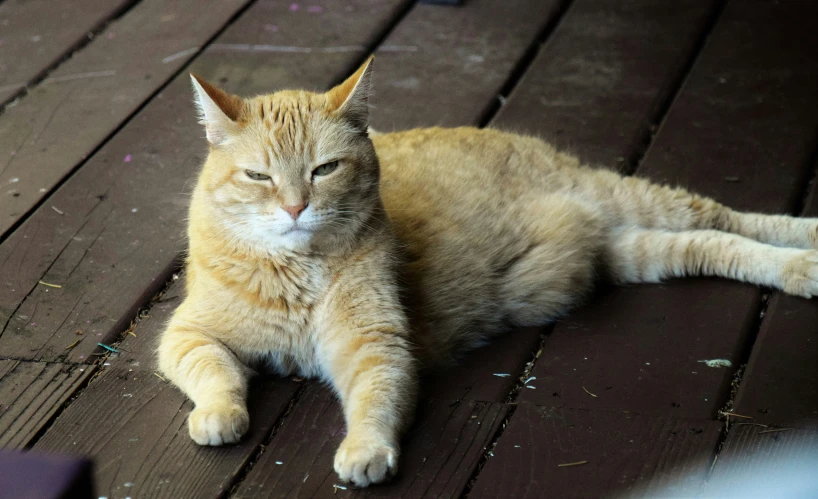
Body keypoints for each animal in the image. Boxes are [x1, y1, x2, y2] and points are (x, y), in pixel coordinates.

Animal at [158, 56, 816, 486]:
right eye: (258, 177)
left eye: (324, 170)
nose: (295, 207)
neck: (298, 270)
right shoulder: (186, 335)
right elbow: (215, 372)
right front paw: (218, 414)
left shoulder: (377, 346)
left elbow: (374, 399)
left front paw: (366, 449)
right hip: (633, 250)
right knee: (711, 243)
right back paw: (796, 266)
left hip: (641, 202)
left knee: (732, 217)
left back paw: (806, 250)